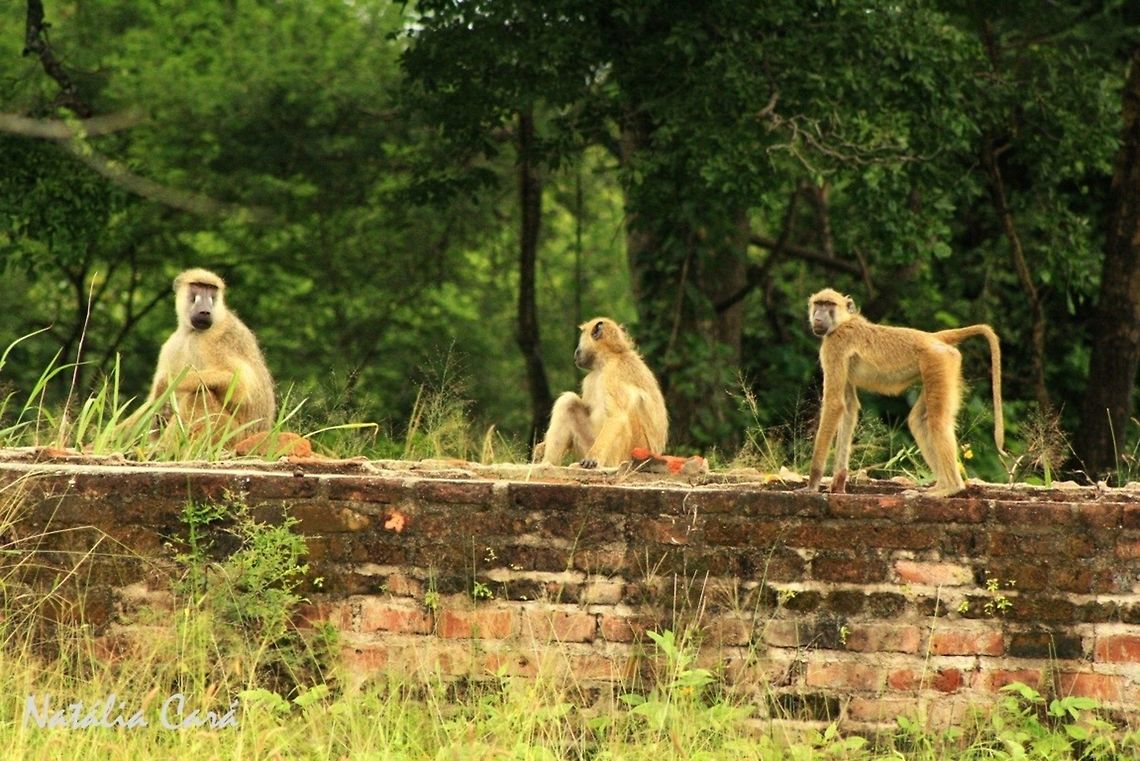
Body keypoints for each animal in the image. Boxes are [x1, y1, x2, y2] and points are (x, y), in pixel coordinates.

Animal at [137, 268, 276, 440]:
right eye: (198, 286)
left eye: (211, 289)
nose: (205, 310)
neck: (191, 332)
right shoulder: (172, 346)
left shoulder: (211, 341)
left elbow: (240, 384)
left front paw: (164, 386)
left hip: (232, 435)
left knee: (199, 396)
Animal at [534, 317, 668, 468]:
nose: (576, 353)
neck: (610, 357)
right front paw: (541, 448)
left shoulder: (613, 372)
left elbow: (617, 416)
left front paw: (592, 459)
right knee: (569, 403)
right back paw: (547, 464)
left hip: (631, 451)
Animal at [802, 288, 1003, 497]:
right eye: (818, 304)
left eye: (829, 305)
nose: (818, 318)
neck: (844, 321)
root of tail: (932, 337)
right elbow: (848, 407)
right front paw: (838, 485)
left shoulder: (834, 346)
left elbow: (834, 404)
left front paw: (812, 485)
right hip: (942, 367)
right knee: (919, 421)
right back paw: (940, 485)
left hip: (939, 361)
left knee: (937, 422)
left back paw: (950, 487)